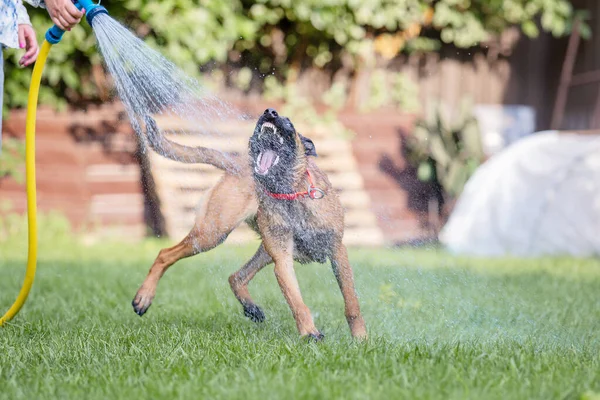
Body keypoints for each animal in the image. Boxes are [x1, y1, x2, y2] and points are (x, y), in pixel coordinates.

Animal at [132, 110, 366, 340]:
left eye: (289, 122)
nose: (270, 112)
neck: (289, 193)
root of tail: (237, 165)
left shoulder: (337, 251)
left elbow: (351, 302)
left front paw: (360, 338)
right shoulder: (283, 260)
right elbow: (297, 302)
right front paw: (310, 333)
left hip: (260, 248)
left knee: (236, 277)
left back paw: (251, 307)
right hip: (212, 234)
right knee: (165, 254)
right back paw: (144, 297)